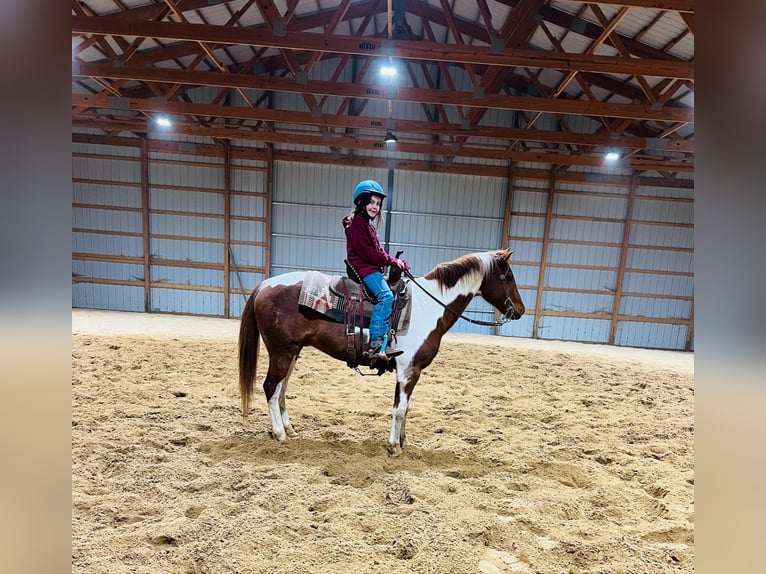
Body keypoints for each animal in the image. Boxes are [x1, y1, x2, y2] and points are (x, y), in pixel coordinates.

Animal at [240, 250, 528, 456]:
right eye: (509, 277)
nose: (520, 310)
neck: (429, 307)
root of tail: (264, 285)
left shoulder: (411, 371)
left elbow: (406, 408)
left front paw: (403, 441)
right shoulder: (408, 369)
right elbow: (399, 409)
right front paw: (393, 446)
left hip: (292, 353)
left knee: (281, 390)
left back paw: (289, 429)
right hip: (281, 352)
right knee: (270, 388)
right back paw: (280, 434)